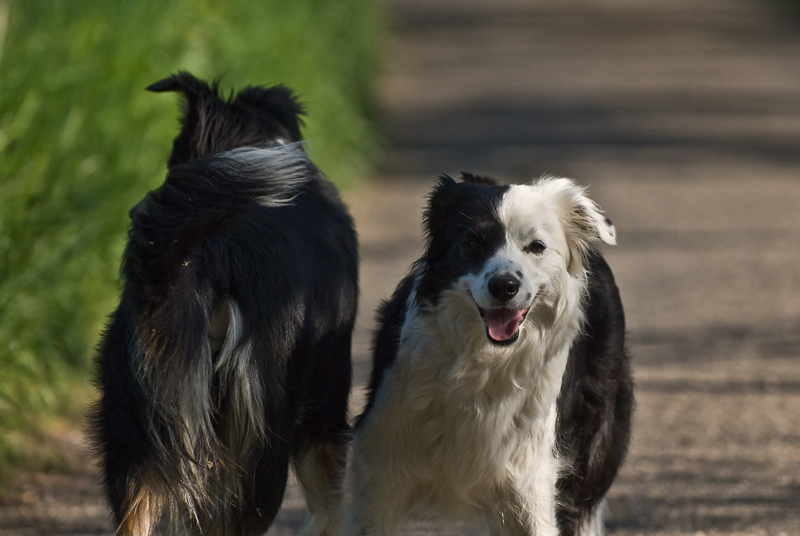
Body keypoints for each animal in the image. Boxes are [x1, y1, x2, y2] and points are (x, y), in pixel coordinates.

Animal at [340, 174, 636, 532]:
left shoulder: (532, 479)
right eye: (472, 242)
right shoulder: (380, 468)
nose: (504, 286)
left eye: (536, 247)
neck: (482, 362)